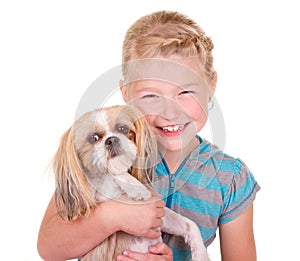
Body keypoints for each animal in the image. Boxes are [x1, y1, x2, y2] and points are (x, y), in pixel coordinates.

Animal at [52, 104, 209, 258]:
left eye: (122, 129)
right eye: (94, 137)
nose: (112, 139)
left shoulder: (160, 216)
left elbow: (190, 225)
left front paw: (201, 255)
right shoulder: (96, 197)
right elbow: (112, 174)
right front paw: (137, 188)